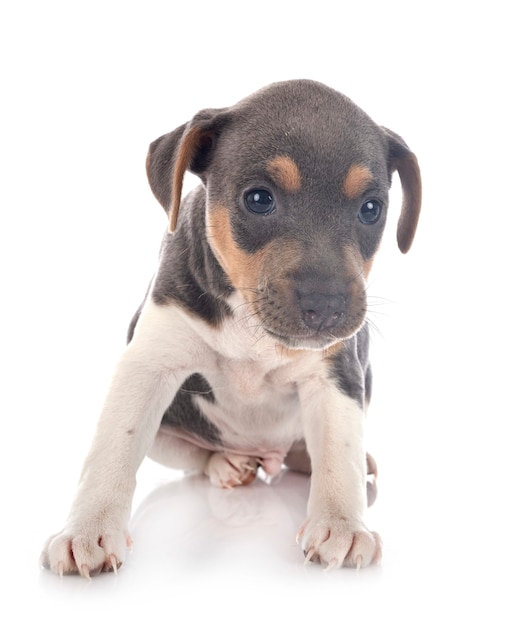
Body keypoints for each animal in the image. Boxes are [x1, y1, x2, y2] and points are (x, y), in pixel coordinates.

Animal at [40, 79, 420, 576]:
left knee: (315, 449)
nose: (326, 307)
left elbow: (340, 452)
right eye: (258, 199)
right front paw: (87, 530)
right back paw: (226, 463)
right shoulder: (148, 367)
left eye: (372, 209)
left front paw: (341, 523)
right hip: (167, 434)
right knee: (193, 455)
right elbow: (112, 451)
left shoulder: (337, 375)